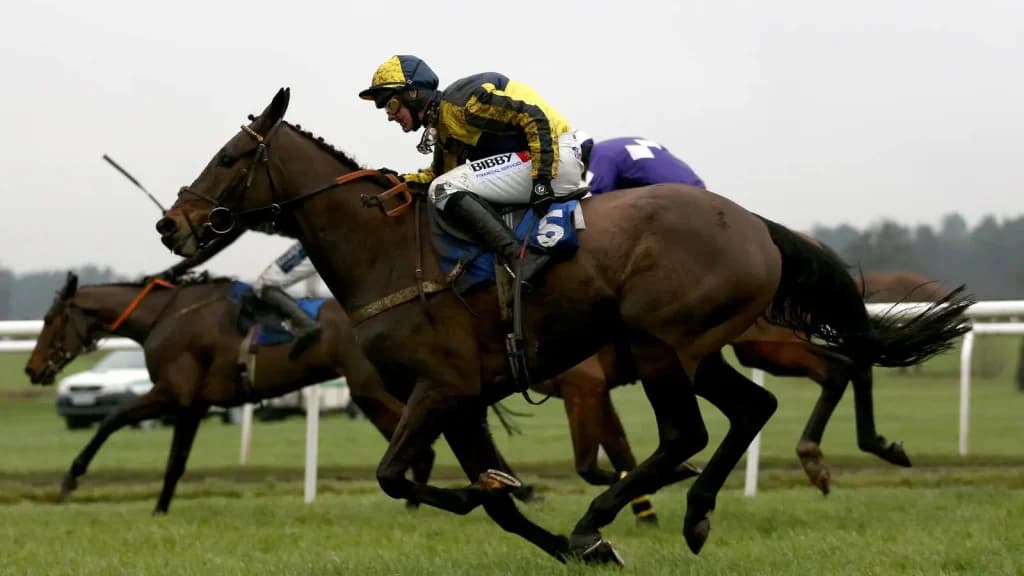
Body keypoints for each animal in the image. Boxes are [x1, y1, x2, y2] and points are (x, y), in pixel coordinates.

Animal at [24, 271, 433, 514]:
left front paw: (71, 477)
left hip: (369, 390)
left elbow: (111, 418)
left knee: (422, 449)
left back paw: (414, 508)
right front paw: (160, 510)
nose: (32, 368)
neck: (165, 316)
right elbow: (176, 462)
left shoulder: (171, 393)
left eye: (50, 319)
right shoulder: (193, 404)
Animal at [154, 88, 972, 564]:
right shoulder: (460, 398)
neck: (386, 251)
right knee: (753, 407)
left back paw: (619, 512)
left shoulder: (443, 386)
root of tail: (753, 222)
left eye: (230, 156)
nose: (171, 224)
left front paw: (559, 523)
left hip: (660, 340)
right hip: (698, 347)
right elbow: (489, 500)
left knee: (688, 432)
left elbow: (400, 477)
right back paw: (695, 513)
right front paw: (554, 532)